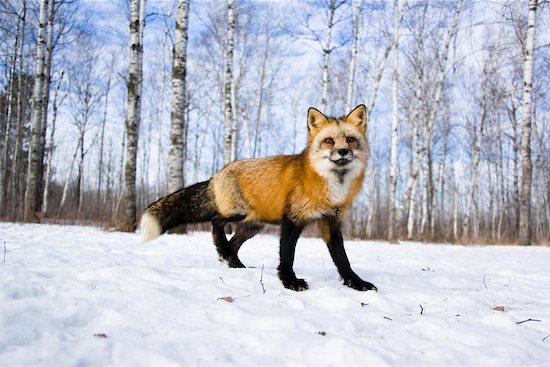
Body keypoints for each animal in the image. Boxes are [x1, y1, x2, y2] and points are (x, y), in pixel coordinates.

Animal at [140, 105, 378, 292]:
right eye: (329, 141)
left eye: (350, 140)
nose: (343, 151)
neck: (332, 188)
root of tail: (217, 174)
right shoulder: (293, 219)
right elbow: (287, 256)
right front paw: (290, 282)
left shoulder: (332, 222)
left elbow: (343, 260)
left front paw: (356, 283)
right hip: (238, 214)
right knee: (216, 221)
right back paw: (225, 252)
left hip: (252, 226)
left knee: (233, 245)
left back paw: (234, 264)